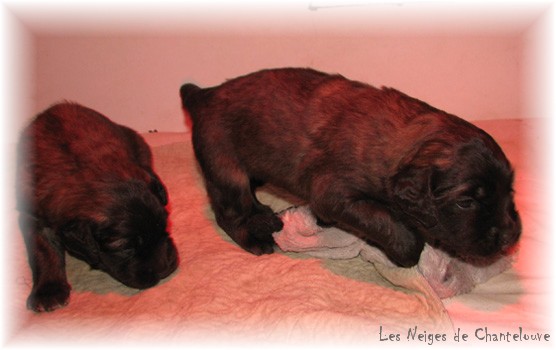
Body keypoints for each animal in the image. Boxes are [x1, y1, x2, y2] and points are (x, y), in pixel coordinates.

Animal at [17, 102, 179, 312]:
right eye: (124, 247)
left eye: (164, 227)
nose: (163, 269)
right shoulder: (33, 213)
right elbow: (44, 250)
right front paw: (49, 292)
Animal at [179, 67, 520, 268]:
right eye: (466, 202)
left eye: (510, 190)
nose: (509, 239)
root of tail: (203, 93)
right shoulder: (334, 194)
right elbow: (391, 225)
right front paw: (405, 251)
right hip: (225, 169)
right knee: (228, 212)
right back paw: (255, 237)